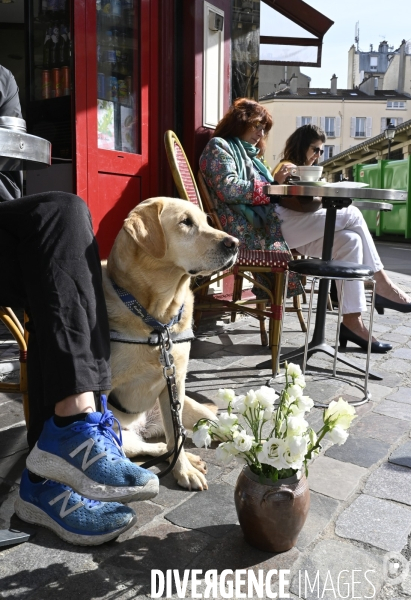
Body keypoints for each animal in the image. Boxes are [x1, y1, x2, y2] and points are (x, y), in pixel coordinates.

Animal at [101, 199, 240, 490]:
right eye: (185, 222)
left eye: (206, 221)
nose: (235, 243)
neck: (158, 319)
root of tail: (143, 425)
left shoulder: (175, 382)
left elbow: (176, 437)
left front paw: (184, 471)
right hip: (127, 437)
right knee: (156, 447)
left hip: (189, 406)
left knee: (198, 430)